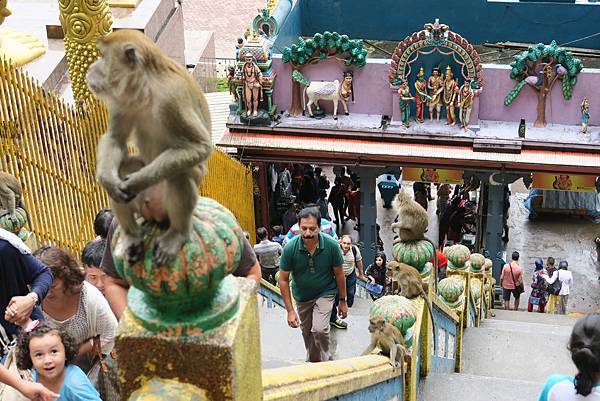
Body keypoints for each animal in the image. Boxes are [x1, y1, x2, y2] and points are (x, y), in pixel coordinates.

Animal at [86, 28, 213, 266]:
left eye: (103, 56)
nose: (91, 68)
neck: (146, 86)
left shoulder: (171, 100)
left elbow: (198, 147)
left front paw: (136, 182)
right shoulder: (123, 101)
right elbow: (115, 139)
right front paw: (108, 179)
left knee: (179, 175)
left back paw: (176, 234)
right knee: (125, 166)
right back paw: (131, 235)